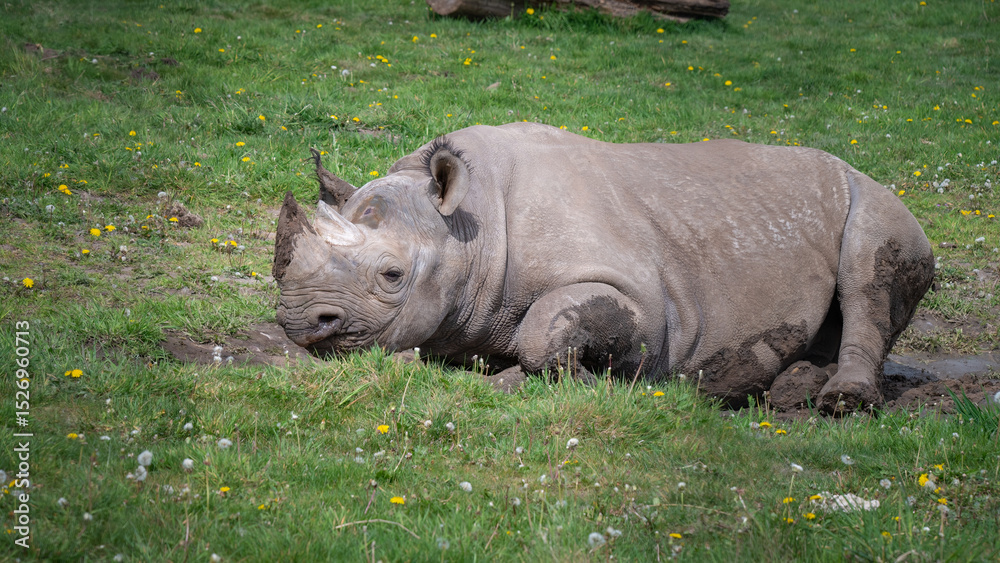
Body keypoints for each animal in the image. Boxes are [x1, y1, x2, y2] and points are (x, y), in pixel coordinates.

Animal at [274, 122, 935, 413]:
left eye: (391, 276)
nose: (299, 323)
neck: (471, 224)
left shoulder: (645, 303)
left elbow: (545, 326)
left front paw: (590, 382)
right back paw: (789, 386)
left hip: (877, 201)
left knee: (866, 275)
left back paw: (840, 402)